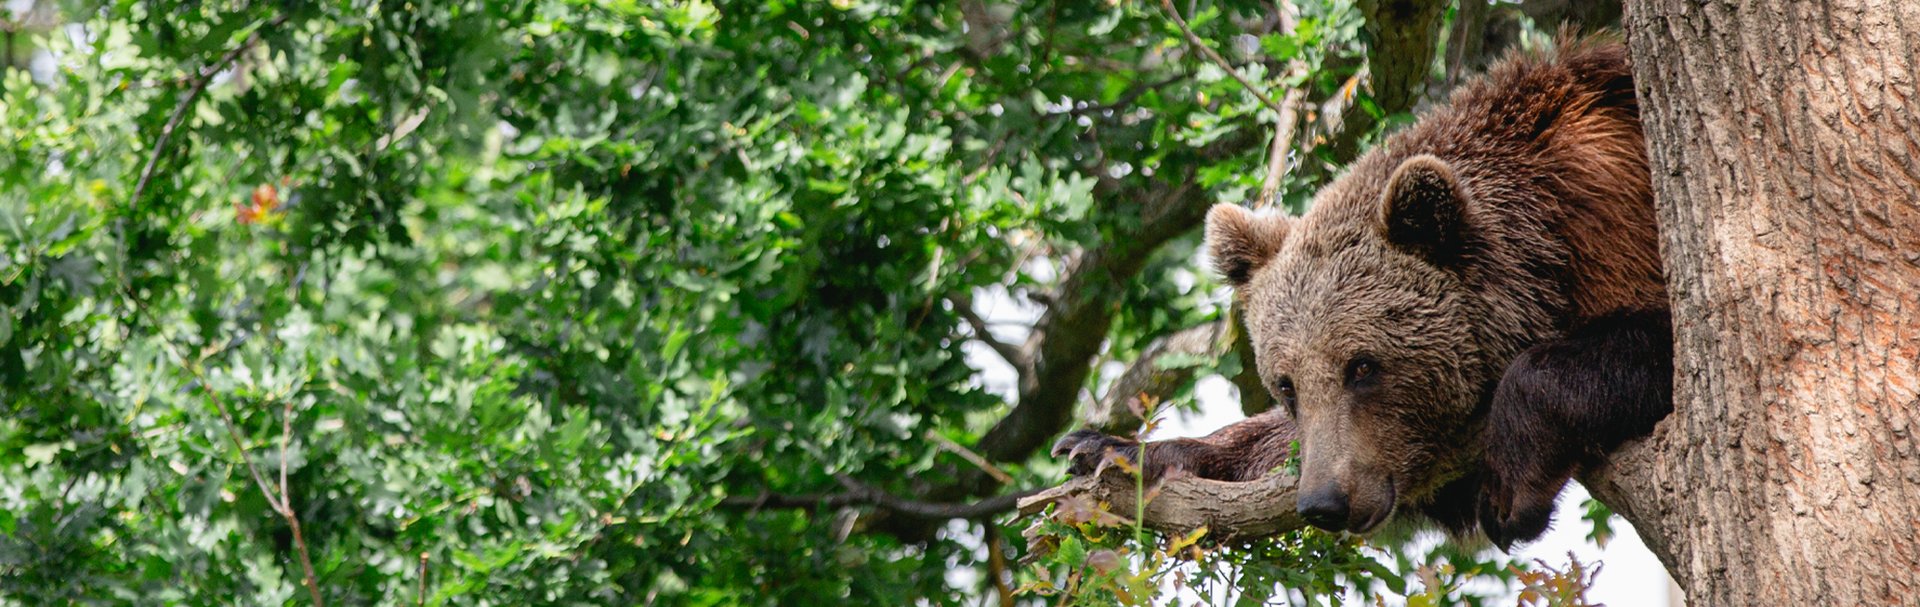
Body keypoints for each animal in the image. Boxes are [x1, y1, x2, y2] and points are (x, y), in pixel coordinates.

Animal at [1053, 37, 1672, 549]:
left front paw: (1509, 490)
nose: (1324, 502)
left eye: (1364, 365)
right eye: (1286, 385)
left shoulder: (1619, 213)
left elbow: (1647, 345)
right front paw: (1110, 450)